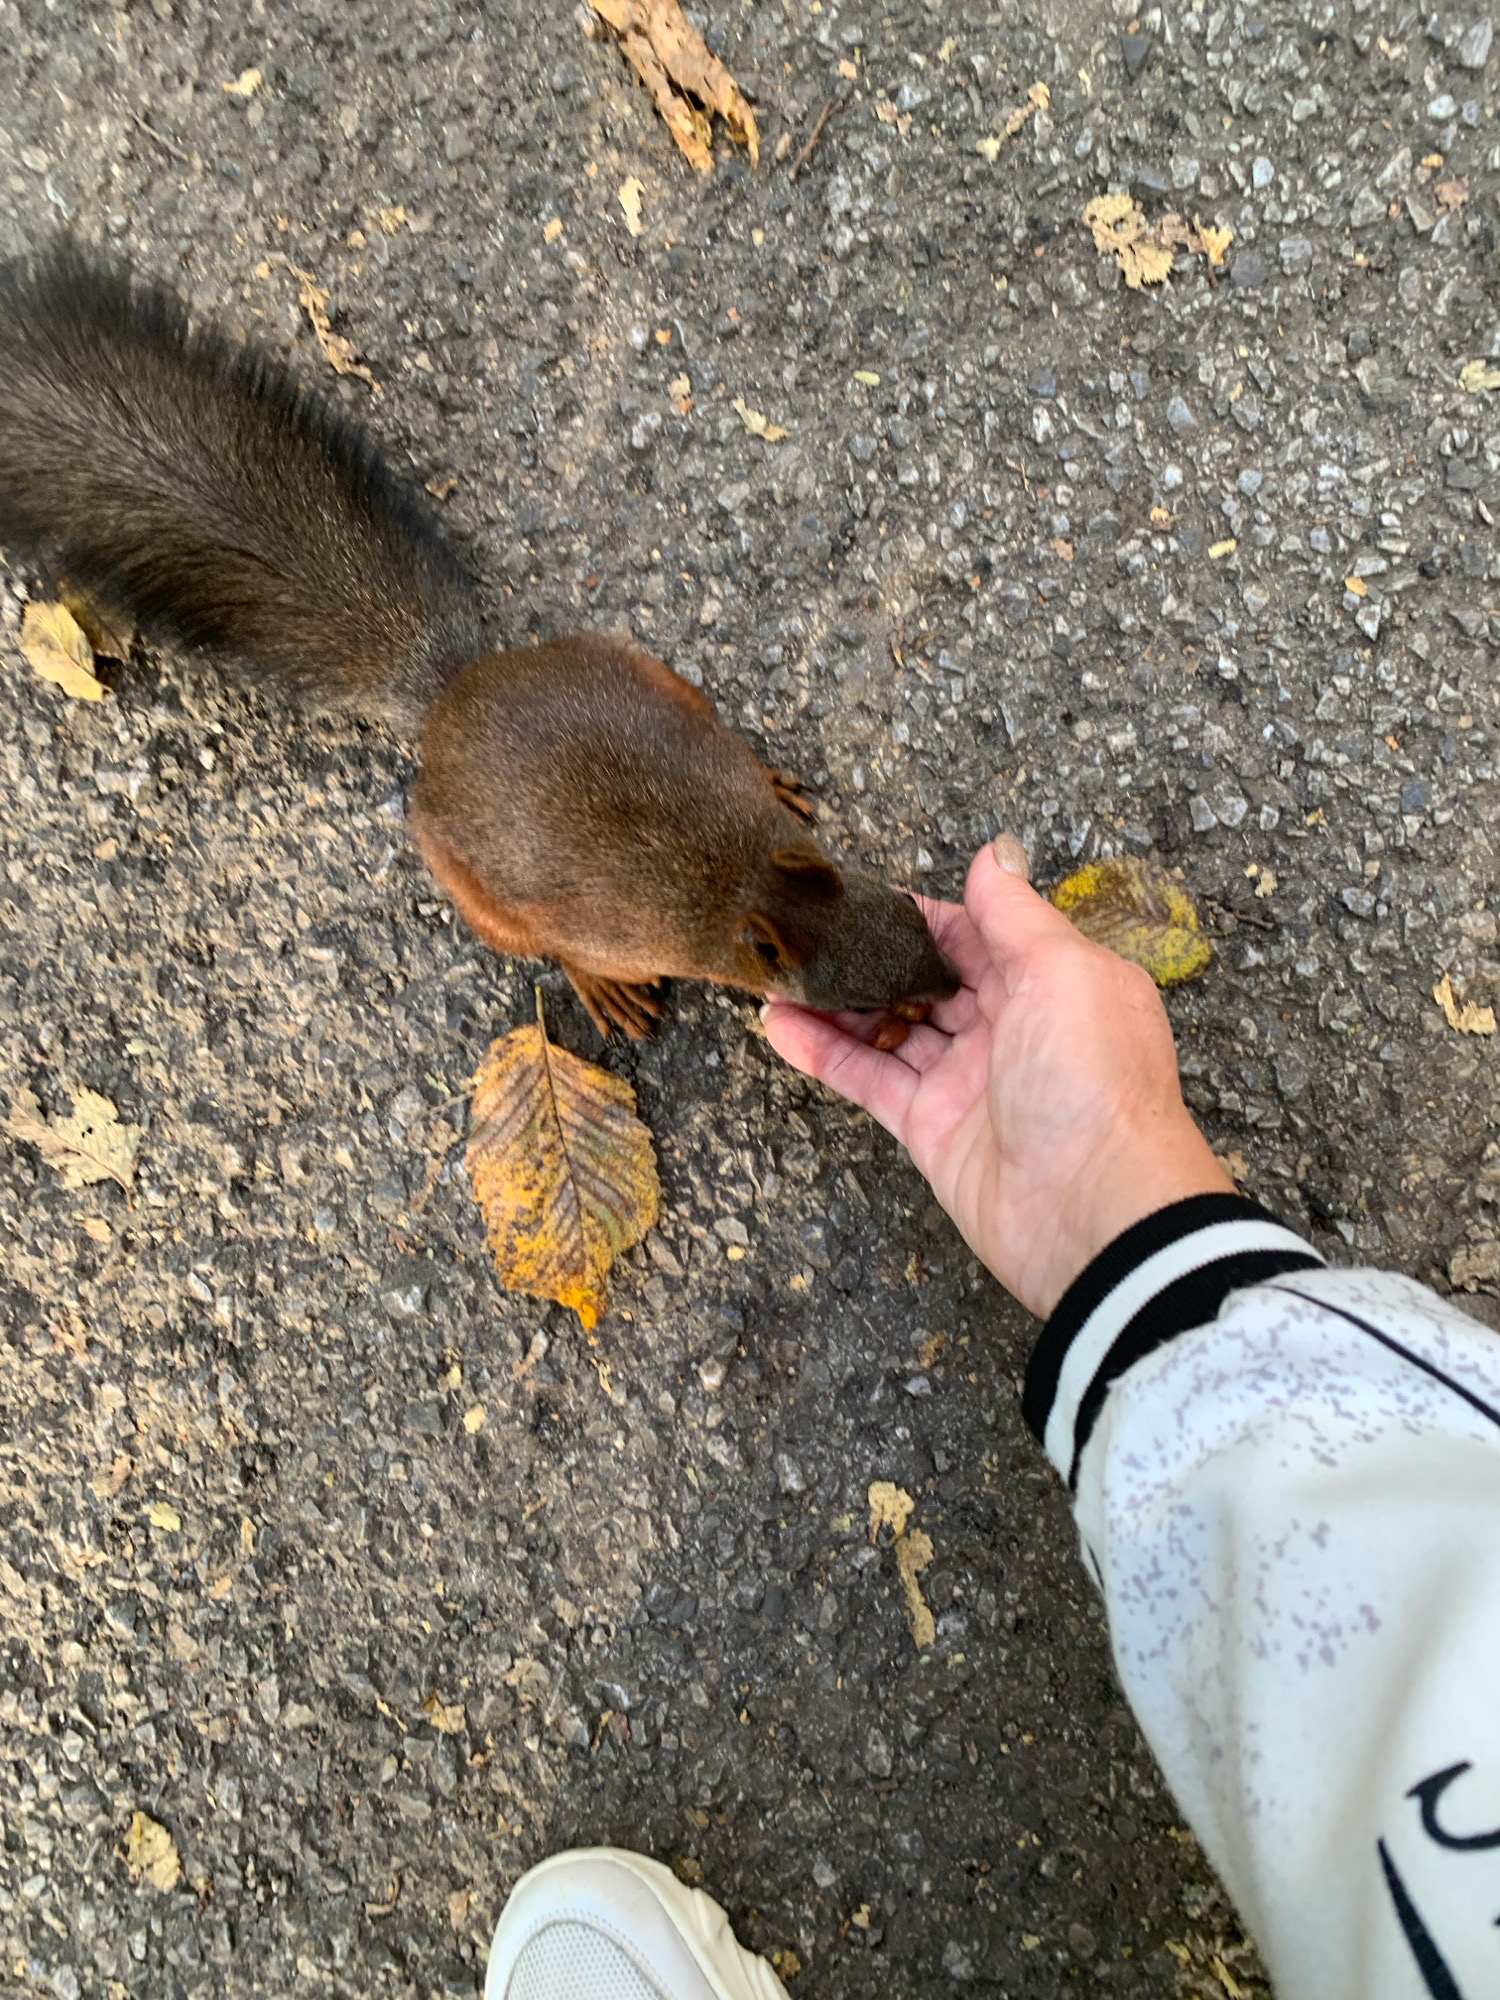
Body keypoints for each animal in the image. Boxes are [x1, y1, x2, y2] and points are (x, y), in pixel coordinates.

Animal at [0, 244, 958, 1039]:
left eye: (910, 909)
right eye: (854, 1000)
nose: (951, 984)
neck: (744, 881)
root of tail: (453, 693)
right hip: (476, 884)